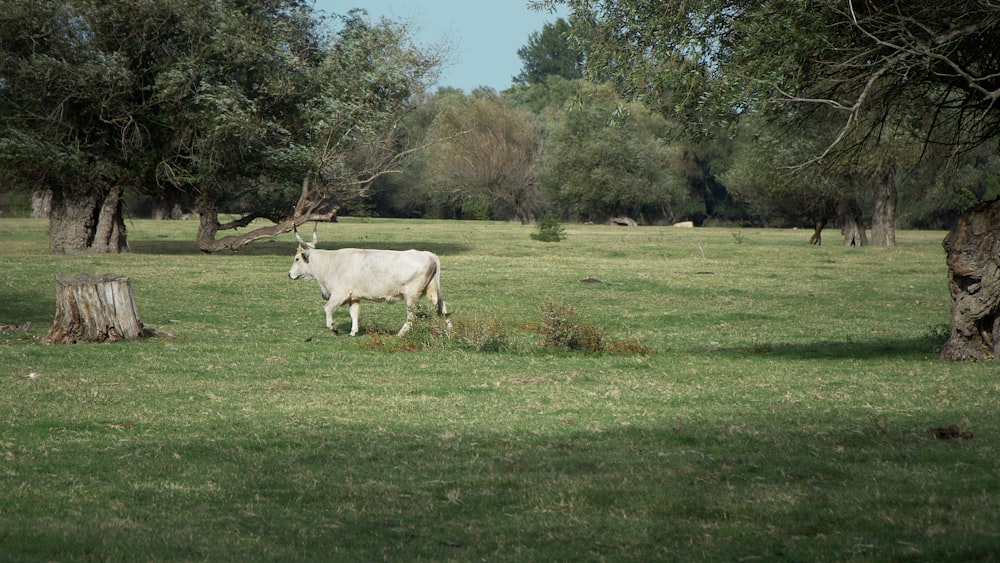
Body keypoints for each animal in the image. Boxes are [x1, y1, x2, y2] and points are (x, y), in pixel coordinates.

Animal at [286, 227, 450, 338]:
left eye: (297, 258)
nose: (289, 274)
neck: (330, 263)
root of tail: (428, 254)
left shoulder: (339, 293)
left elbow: (327, 308)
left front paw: (333, 327)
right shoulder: (354, 296)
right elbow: (354, 313)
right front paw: (353, 332)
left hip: (412, 295)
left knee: (411, 316)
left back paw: (400, 334)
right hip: (432, 291)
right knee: (443, 308)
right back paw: (450, 331)